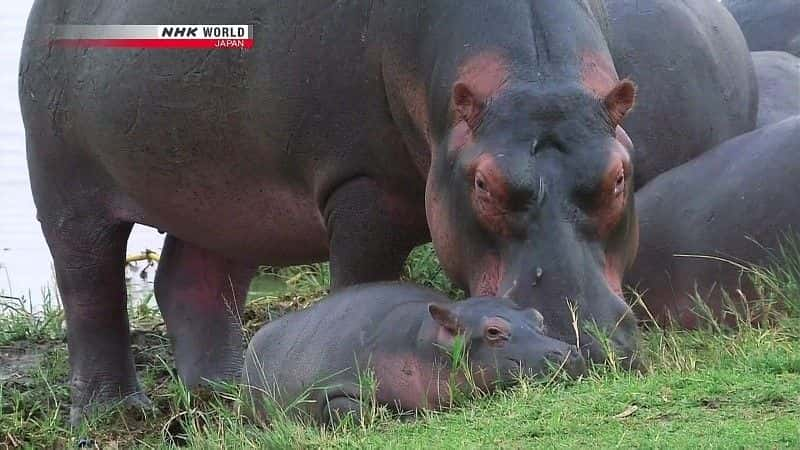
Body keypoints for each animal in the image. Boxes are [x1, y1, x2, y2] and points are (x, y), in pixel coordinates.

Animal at [241, 282, 584, 426]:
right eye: (493, 331)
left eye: (538, 316)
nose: (568, 355)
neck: (421, 338)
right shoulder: (334, 386)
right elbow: (355, 410)